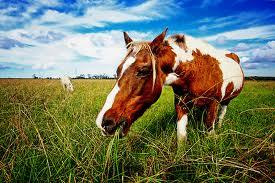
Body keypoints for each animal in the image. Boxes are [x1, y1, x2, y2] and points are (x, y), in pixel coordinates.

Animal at [96, 28, 245, 142]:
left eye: (143, 71)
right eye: (118, 70)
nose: (103, 122)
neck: (196, 72)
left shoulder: (213, 104)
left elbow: (209, 130)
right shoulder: (181, 105)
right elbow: (181, 137)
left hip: (225, 101)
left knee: (221, 114)